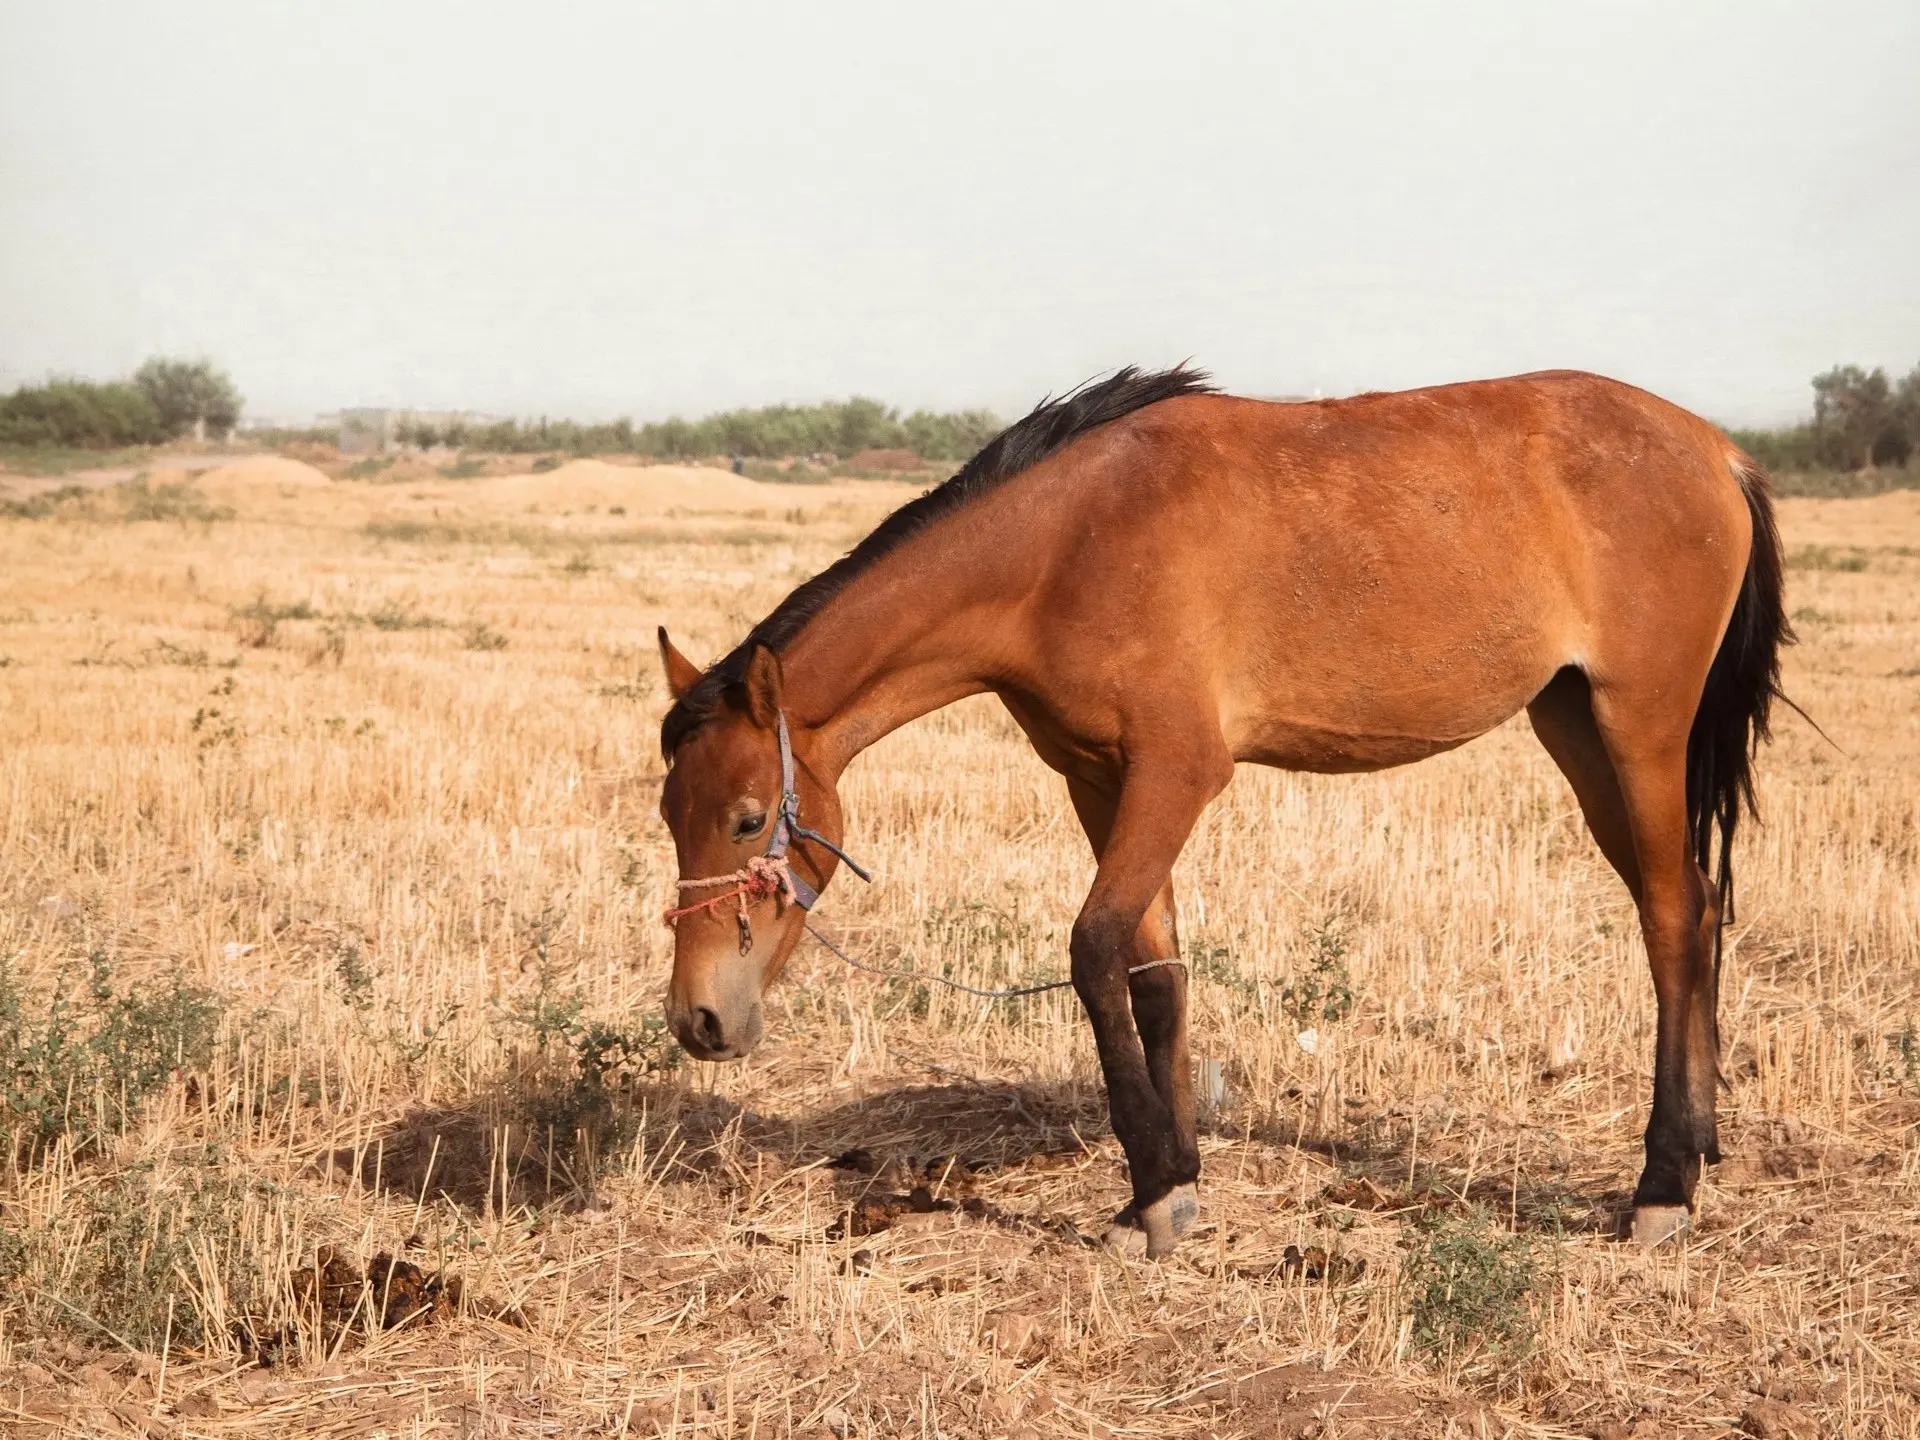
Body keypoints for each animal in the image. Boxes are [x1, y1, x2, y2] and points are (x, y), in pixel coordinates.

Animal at [656, 366, 1781, 1259]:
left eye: (748, 819)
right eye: (671, 815)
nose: (699, 1020)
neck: (1067, 549)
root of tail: (1716, 449)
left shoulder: (1177, 774)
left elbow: (1094, 950)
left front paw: (1156, 1189)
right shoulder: (1098, 780)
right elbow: (1154, 977)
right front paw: (1171, 1184)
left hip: (1639, 729)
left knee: (1672, 918)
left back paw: (1662, 1187)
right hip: (1577, 727)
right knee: (1693, 907)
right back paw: (1700, 1147)